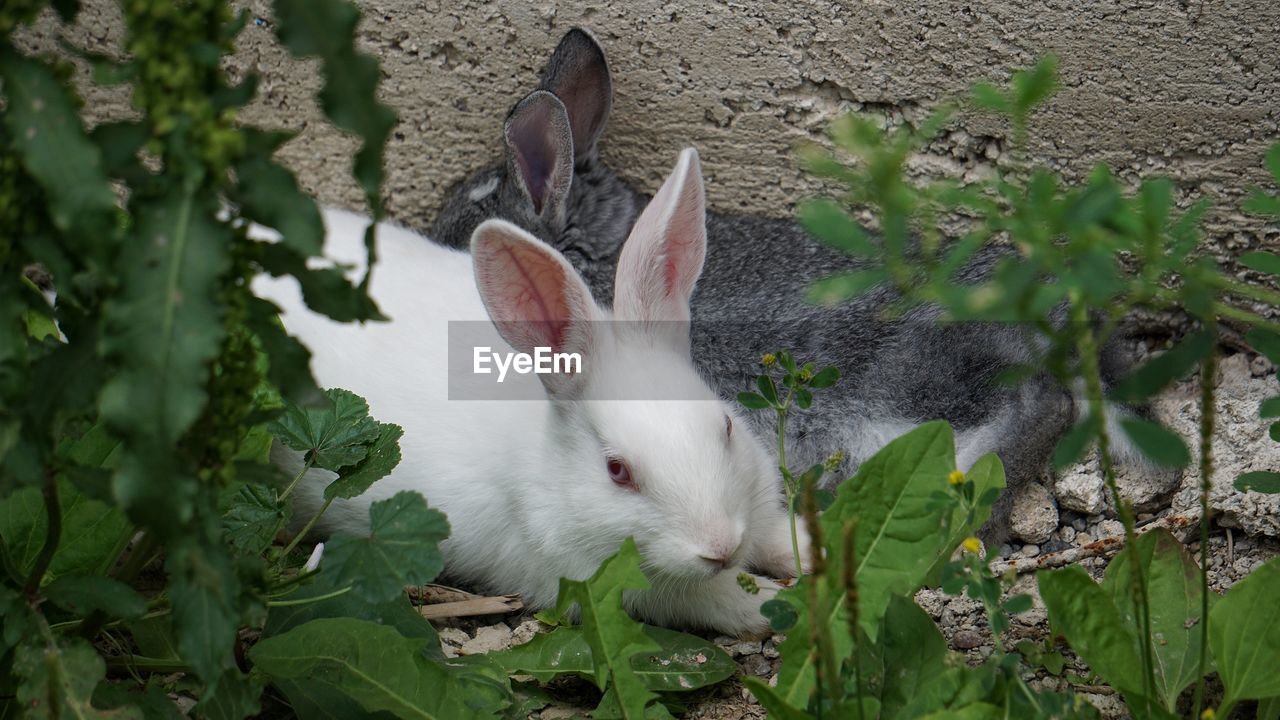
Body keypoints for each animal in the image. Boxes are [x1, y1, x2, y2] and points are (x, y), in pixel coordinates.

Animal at [252, 146, 798, 632]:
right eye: (616, 471)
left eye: (725, 427)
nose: (721, 546)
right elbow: (720, 599)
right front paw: (778, 605)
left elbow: (780, 534)